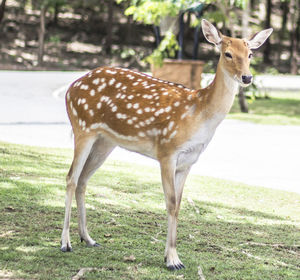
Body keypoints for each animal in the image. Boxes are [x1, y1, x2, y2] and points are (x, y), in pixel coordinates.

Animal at [60, 19, 272, 270]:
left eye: (250, 54)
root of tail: (70, 88)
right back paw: (65, 242)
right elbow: (170, 203)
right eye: (227, 53)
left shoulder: (189, 161)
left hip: (105, 142)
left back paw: (88, 238)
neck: (199, 114)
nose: (247, 78)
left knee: (83, 180)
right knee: (71, 178)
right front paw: (172, 260)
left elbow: (178, 206)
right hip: (82, 127)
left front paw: (171, 256)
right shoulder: (167, 151)